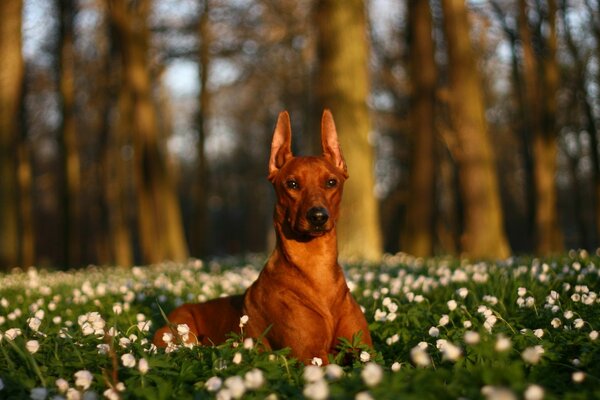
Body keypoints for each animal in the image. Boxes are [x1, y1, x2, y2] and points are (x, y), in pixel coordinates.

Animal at [152, 109, 372, 362]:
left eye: (331, 182)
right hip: (183, 333)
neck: (317, 266)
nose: (318, 216)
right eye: (292, 184)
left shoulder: (365, 350)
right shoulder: (311, 355)